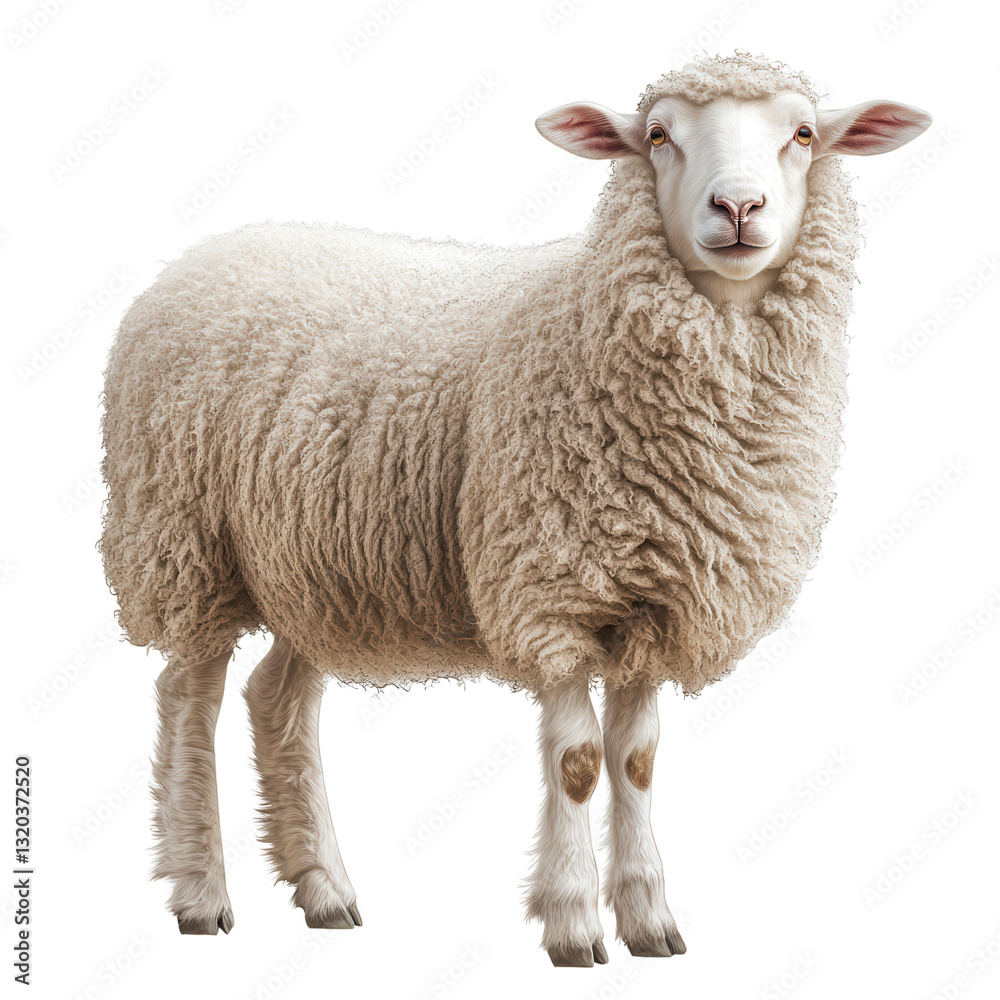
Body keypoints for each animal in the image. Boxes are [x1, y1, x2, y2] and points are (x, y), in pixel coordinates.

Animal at [99, 52, 931, 965]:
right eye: (658, 135)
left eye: (804, 133)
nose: (739, 208)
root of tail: (202, 253)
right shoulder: (551, 592)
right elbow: (578, 763)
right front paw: (572, 926)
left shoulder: (656, 601)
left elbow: (637, 762)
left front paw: (649, 921)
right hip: (183, 542)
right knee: (190, 699)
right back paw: (199, 891)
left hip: (313, 569)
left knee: (276, 700)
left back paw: (325, 891)